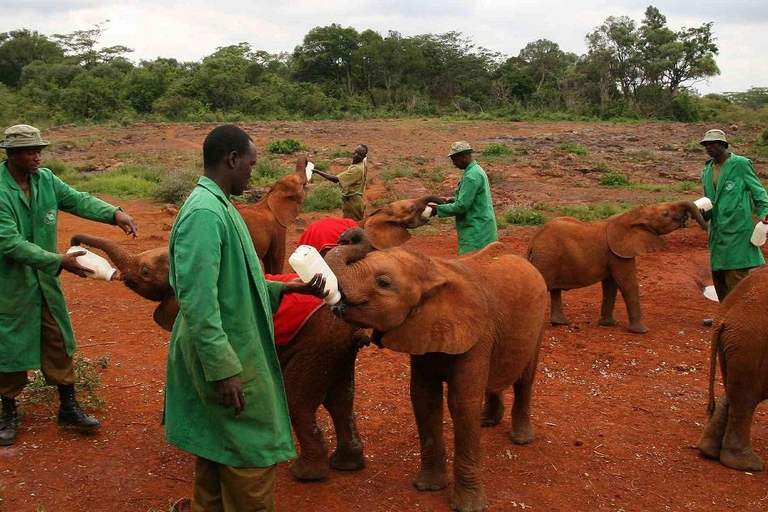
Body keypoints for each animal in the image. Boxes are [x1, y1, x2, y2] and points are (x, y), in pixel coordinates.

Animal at [696, 268, 768, 472]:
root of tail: (724, 314)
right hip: (750, 342)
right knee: (746, 397)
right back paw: (748, 465)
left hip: (740, 342)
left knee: (736, 391)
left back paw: (709, 451)